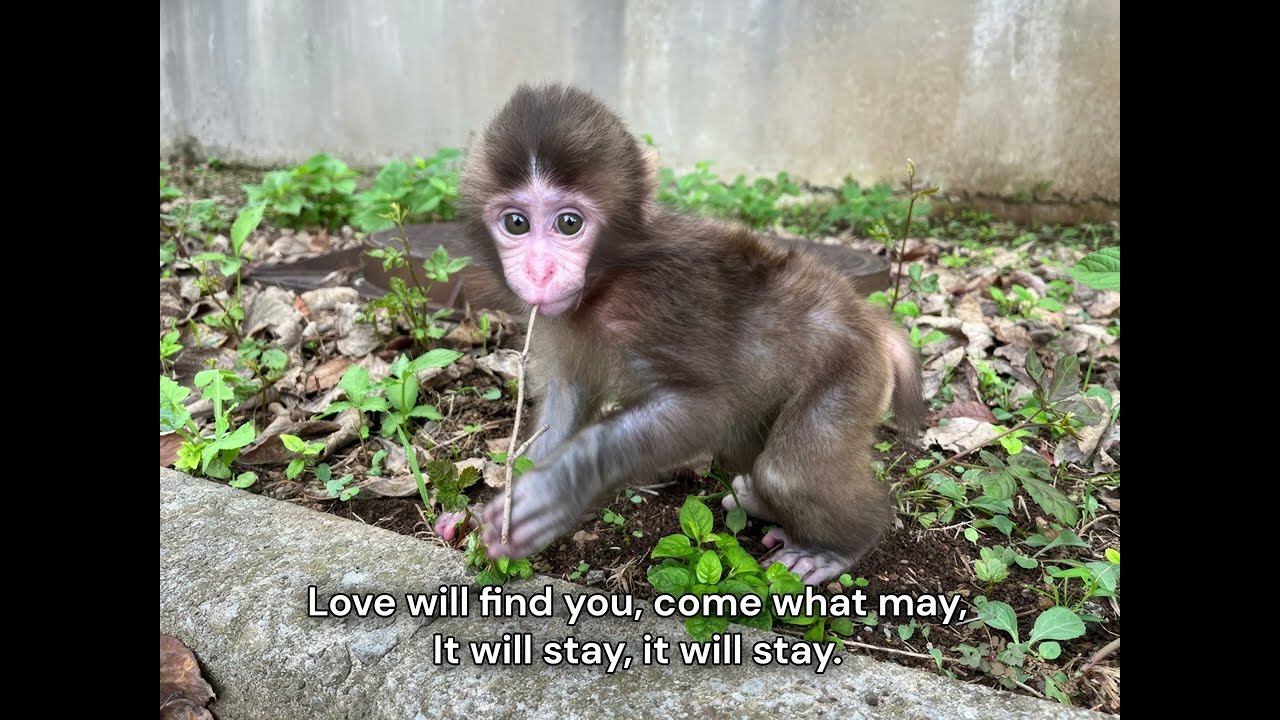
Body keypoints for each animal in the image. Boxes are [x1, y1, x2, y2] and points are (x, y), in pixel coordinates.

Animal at [437, 82, 925, 585]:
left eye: (569, 223)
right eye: (516, 223)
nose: (539, 271)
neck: (606, 280)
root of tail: (866, 318)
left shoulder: (659, 301)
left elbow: (706, 409)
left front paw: (555, 488)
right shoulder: (556, 320)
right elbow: (566, 399)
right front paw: (483, 515)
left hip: (850, 371)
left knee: (788, 474)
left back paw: (836, 546)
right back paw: (760, 503)